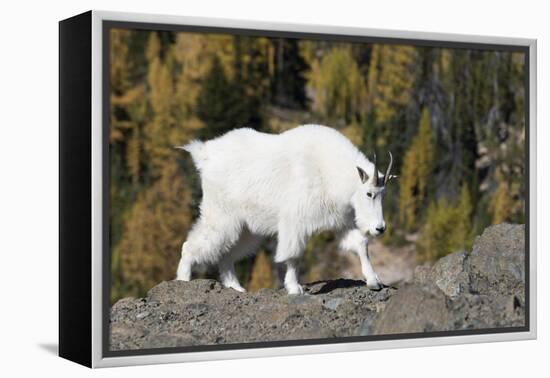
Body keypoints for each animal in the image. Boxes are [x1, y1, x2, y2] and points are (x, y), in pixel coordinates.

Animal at [177, 125, 396, 294]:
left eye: (384, 194)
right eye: (369, 193)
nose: (380, 228)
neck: (327, 171)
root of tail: (205, 154)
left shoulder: (341, 222)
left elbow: (360, 244)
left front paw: (374, 281)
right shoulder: (295, 222)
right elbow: (293, 255)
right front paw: (294, 288)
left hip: (246, 227)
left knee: (226, 254)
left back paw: (236, 288)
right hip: (222, 215)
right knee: (191, 245)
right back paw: (183, 280)